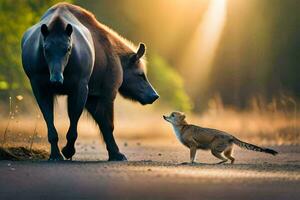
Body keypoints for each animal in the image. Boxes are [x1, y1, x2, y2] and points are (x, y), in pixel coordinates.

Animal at [21, 3, 159, 161]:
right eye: (141, 74)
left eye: (68, 49)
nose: (154, 95)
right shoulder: (107, 91)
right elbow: (108, 124)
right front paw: (116, 153)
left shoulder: (92, 95)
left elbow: (101, 123)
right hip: (56, 86)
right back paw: (64, 151)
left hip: (45, 87)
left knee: (51, 121)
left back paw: (56, 154)